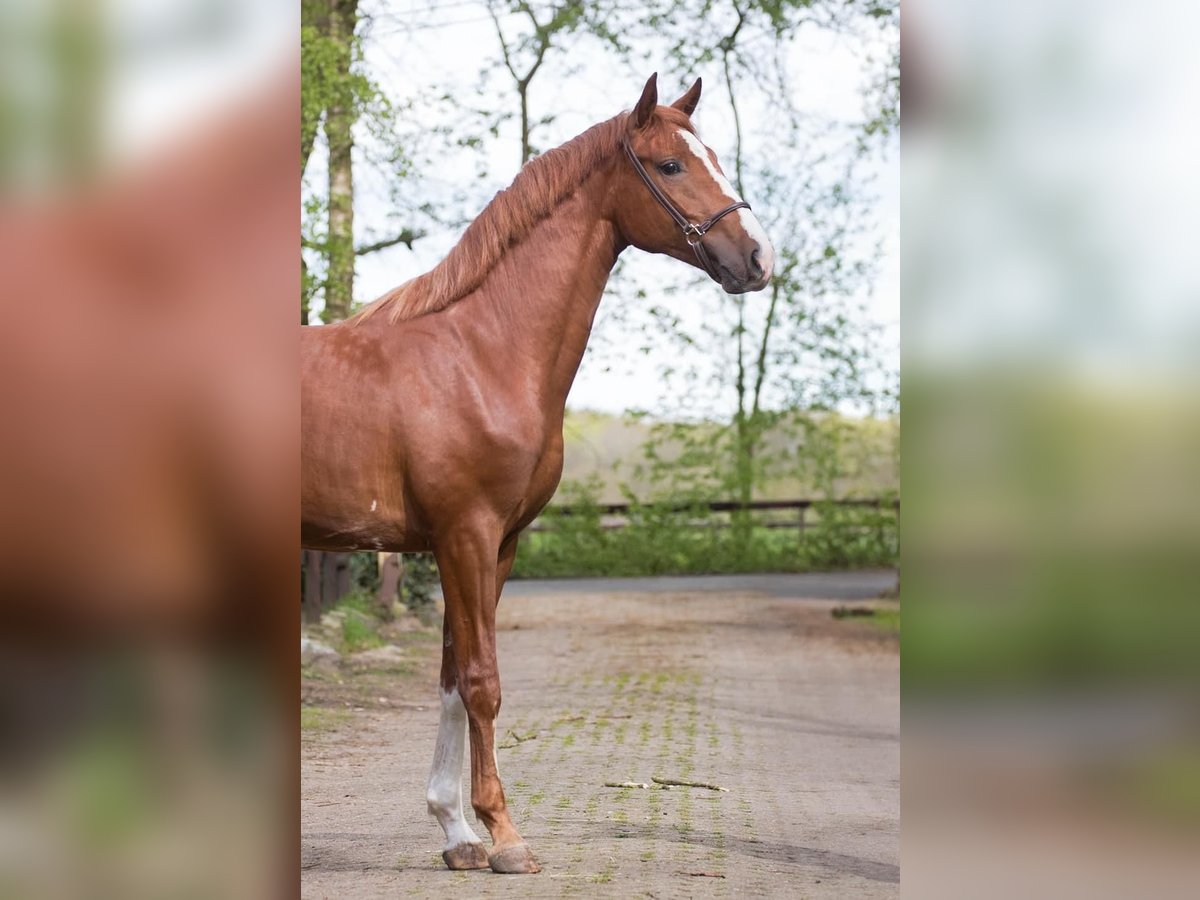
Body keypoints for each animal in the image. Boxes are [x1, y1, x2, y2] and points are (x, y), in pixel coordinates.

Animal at [297, 74, 768, 878]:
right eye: (671, 165)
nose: (758, 258)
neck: (481, 352)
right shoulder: (466, 534)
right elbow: (483, 683)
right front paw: (506, 837)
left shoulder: (495, 543)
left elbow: (452, 679)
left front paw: (457, 833)